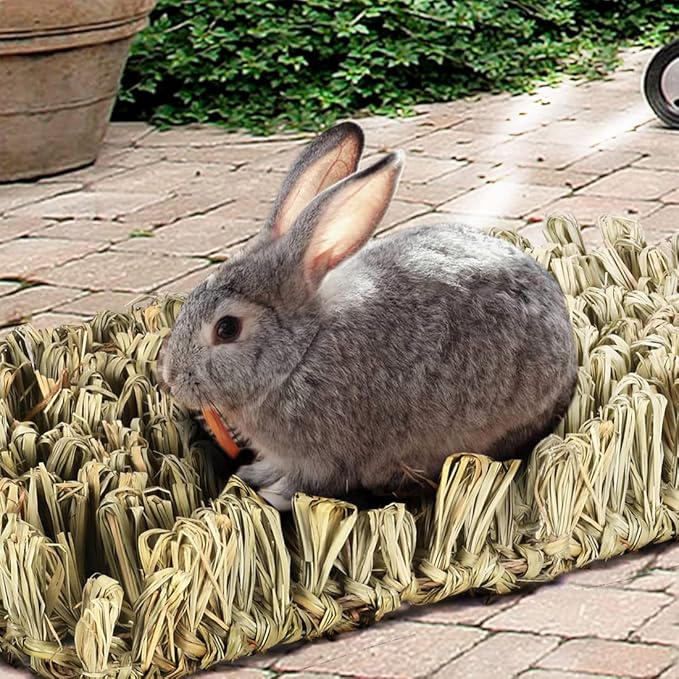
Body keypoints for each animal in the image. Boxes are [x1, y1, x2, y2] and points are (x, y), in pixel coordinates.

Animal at [158, 120, 577, 511]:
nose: (171, 380)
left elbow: (304, 485)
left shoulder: (323, 460)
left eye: (227, 328)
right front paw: (252, 473)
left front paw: (270, 496)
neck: (299, 355)